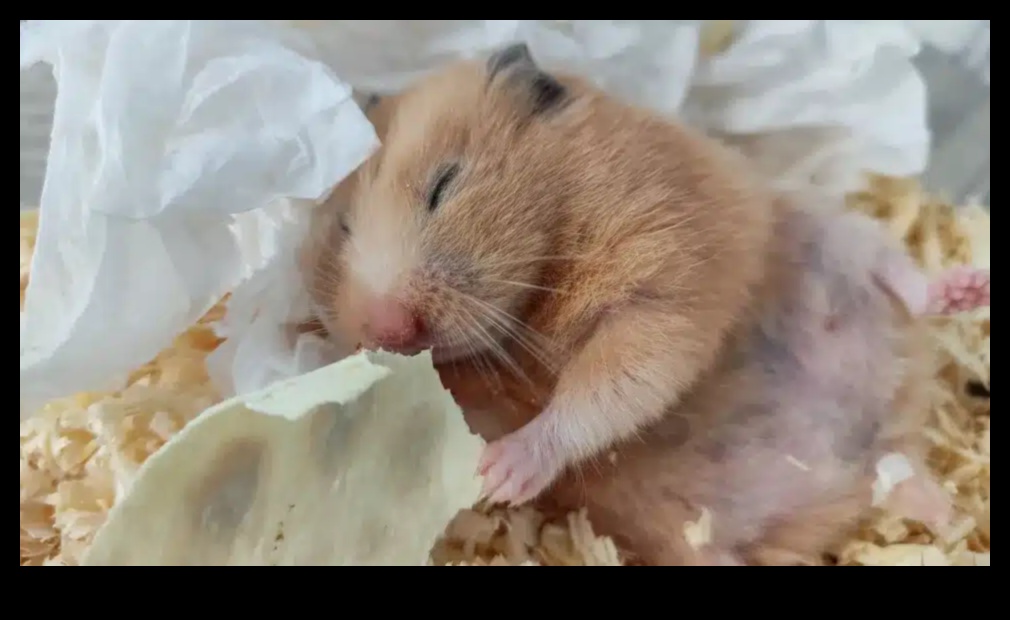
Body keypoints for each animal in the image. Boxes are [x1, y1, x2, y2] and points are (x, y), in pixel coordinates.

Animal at [300, 43, 782, 506]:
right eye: (344, 229)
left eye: (444, 185)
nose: (392, 329)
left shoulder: (666, 281)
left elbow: (609, 387)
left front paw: (496, 476)